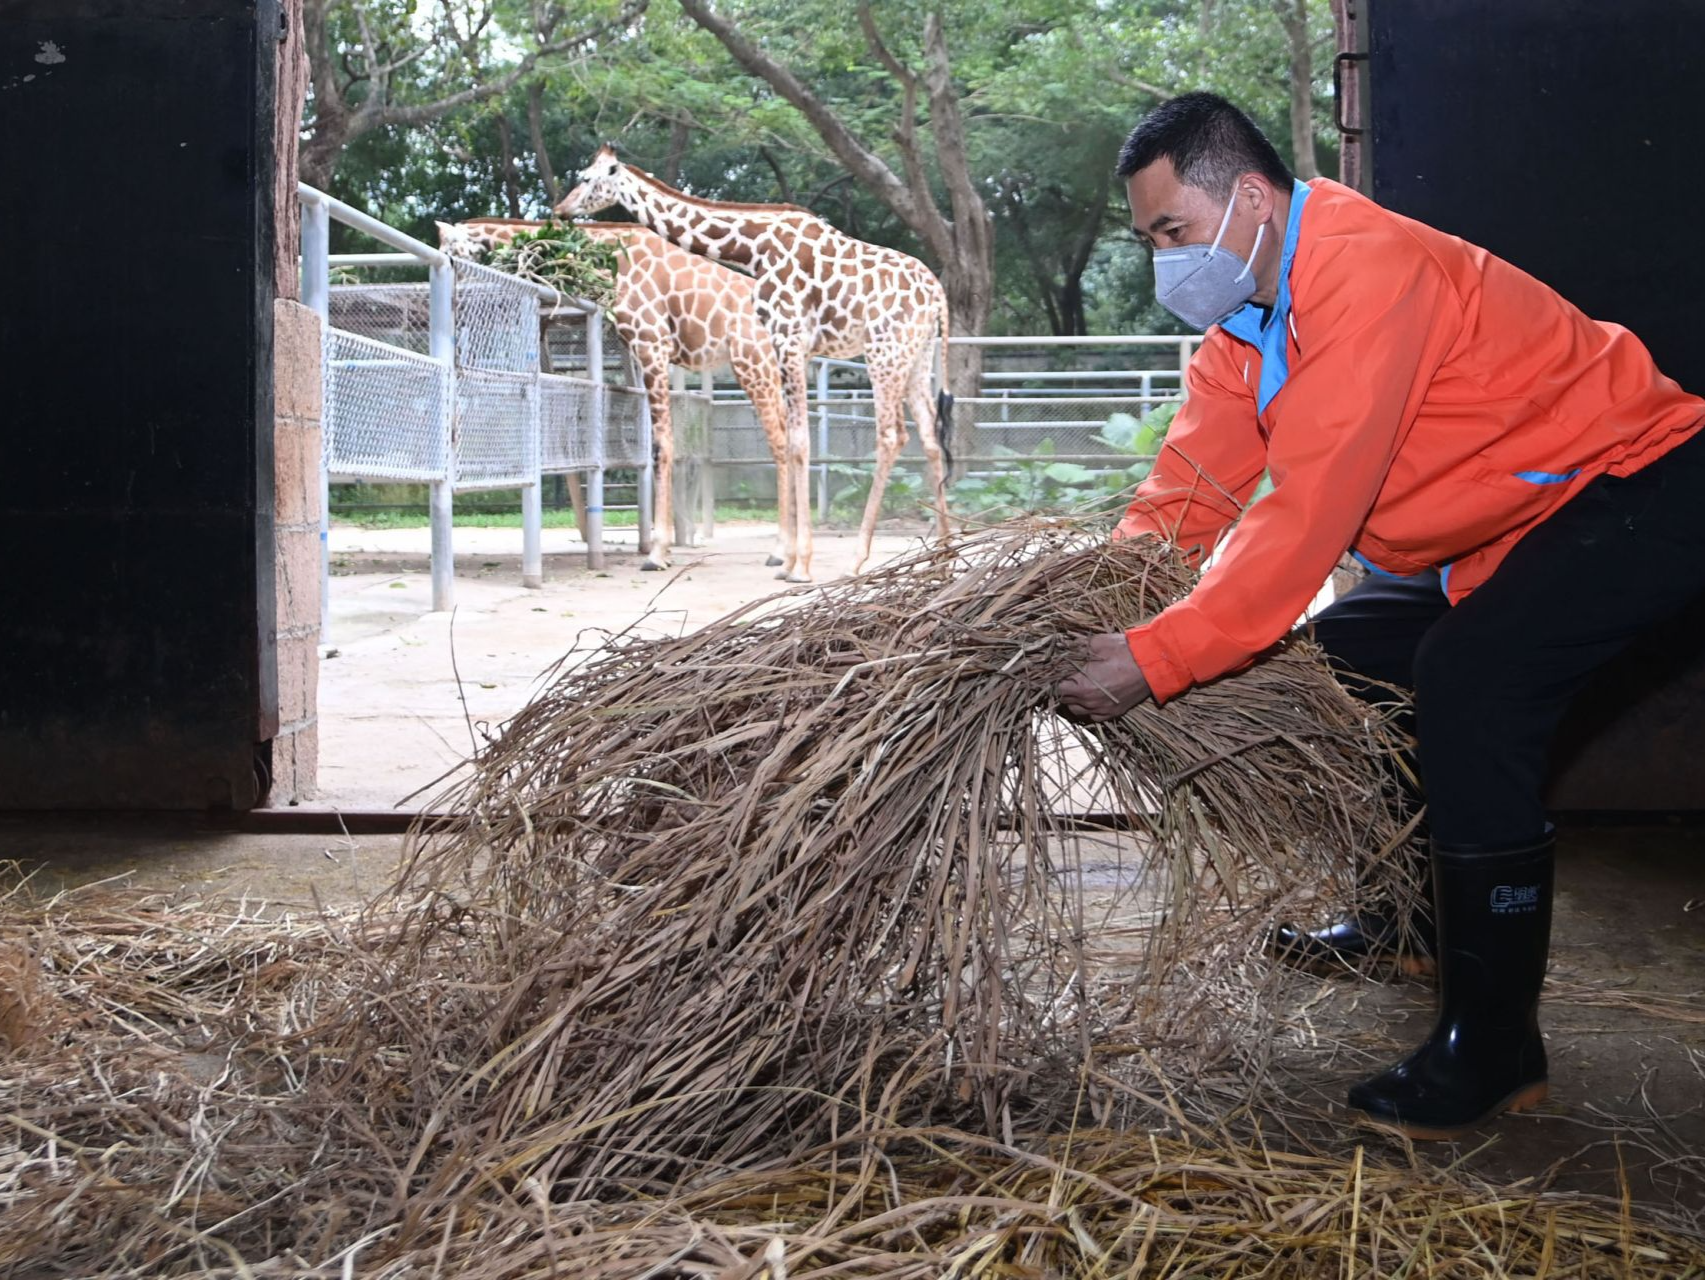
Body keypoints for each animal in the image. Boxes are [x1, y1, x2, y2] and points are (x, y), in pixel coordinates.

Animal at [433, 219, 791, 576]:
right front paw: (664, 551)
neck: (610, 259)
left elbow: (662, 446)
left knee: (780, 441)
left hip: (751, 361)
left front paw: (657, 554)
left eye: (449, 250)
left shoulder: (652, 344)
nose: (454, 297)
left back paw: (780, 552)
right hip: (771, 369)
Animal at [562, 144, 961, 579]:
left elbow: (799, 442)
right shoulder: (789, 345)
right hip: (916, 356)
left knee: (891, 436)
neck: (754, 248)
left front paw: (799, 565)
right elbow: (792, 441)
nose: (562, 209)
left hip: (883, 351)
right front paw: (789, 560)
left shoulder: (789, 339)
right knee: (930, 436)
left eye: (585, 178)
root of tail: (938, 296)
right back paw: (943, 554)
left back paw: (858, 558)